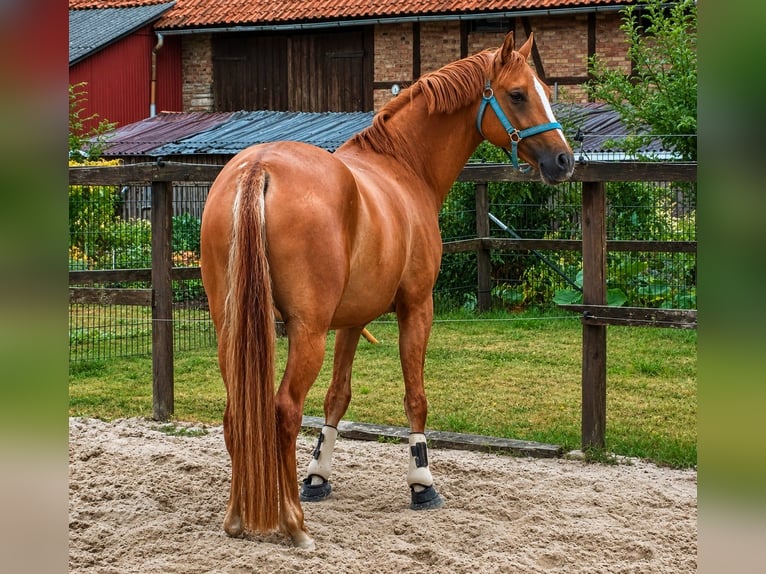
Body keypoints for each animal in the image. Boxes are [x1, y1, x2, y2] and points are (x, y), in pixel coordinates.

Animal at [199, 31, 574, 550]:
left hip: (232, 329)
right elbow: (416, 396)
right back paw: (293, 523)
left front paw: (318, 477)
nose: (564, 161)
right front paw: (422, 484)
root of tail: (259, 167)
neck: (403, 167)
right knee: (283, 411)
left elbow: (337, 397)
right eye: (518, 94)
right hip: (306, 333)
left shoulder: (352, 319)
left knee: (238, 413)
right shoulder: (417, 307)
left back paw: (237, 517)